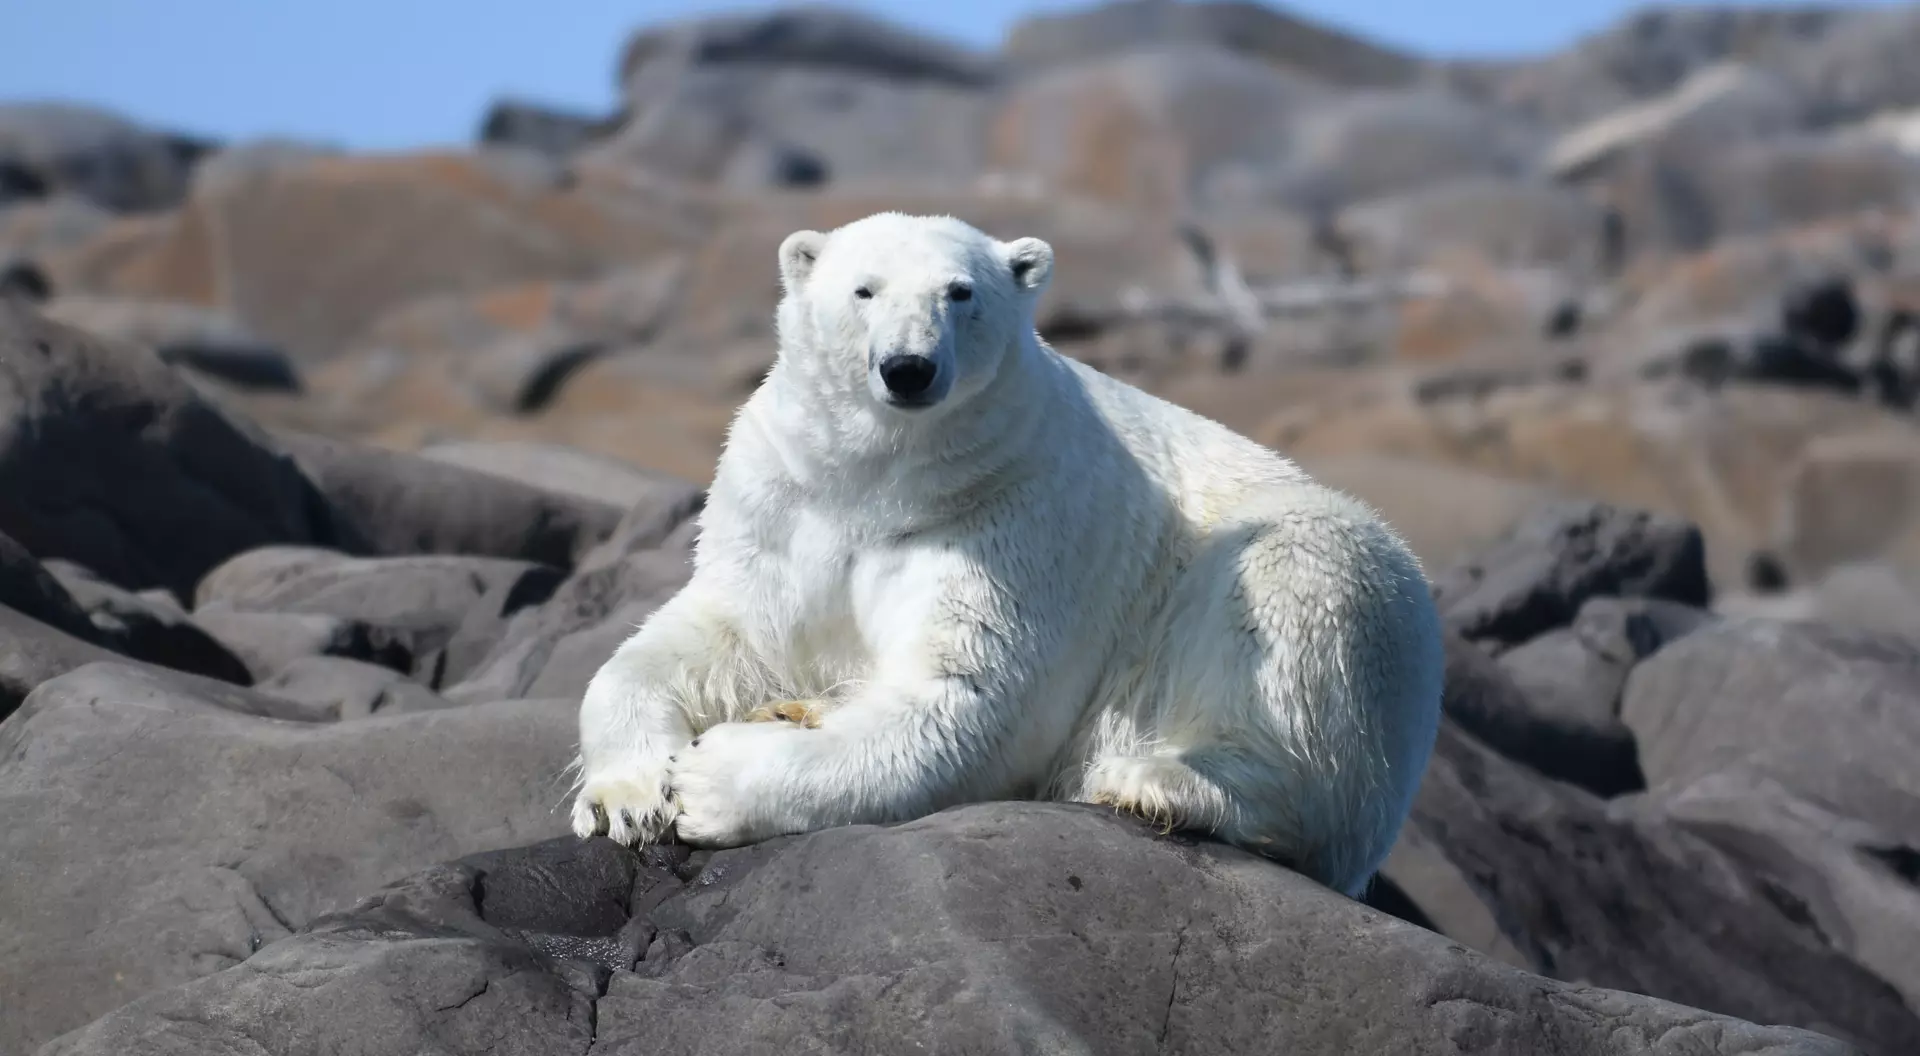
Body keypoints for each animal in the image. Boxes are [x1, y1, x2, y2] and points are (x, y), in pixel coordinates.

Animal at [571, 211, 1444, 897]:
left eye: (961, 292)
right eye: (865, 290)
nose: (909, 368)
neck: (884, 478)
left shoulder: (1011, 518)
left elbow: (965, 698)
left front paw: (711, 781)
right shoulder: (784, 504)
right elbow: (715, 636)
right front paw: (629, 793)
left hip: (1342, 597)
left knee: (1293, 612)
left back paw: (1152, 781)